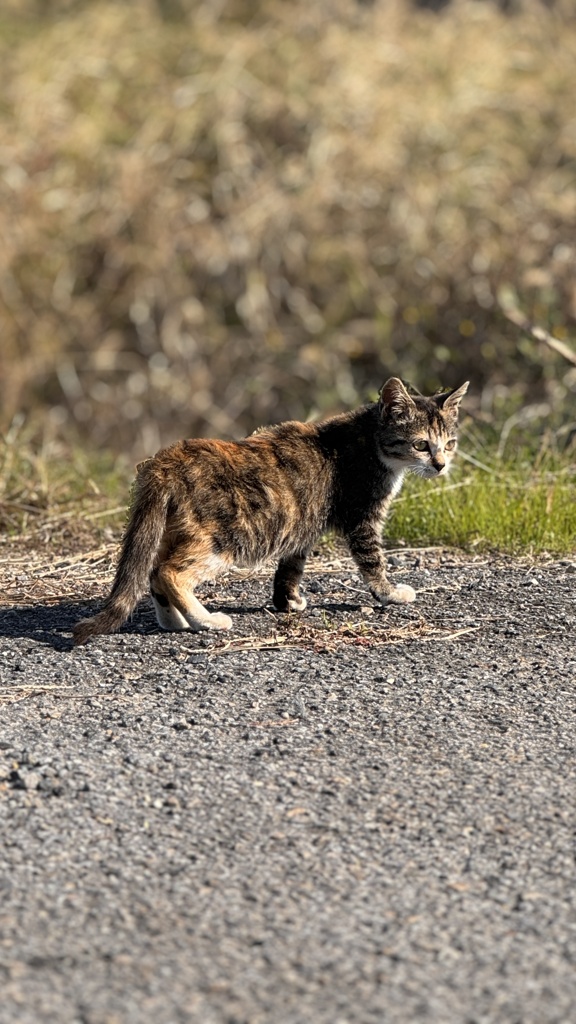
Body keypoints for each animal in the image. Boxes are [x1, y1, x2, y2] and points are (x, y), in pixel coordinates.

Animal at [72, 376, 467, 643]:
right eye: (420, 444)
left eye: (449, 442)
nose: (441, 465)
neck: (369, 441)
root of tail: (166, 460)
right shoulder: (362, 519)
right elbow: (373, 563)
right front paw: (390, 593)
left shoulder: (303, 523)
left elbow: (291, 566)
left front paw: (287, 601)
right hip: (221, 538)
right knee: (170, 572)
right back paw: (207, 621)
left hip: (175, 529)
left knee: (154, 570)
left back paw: (176, 621)